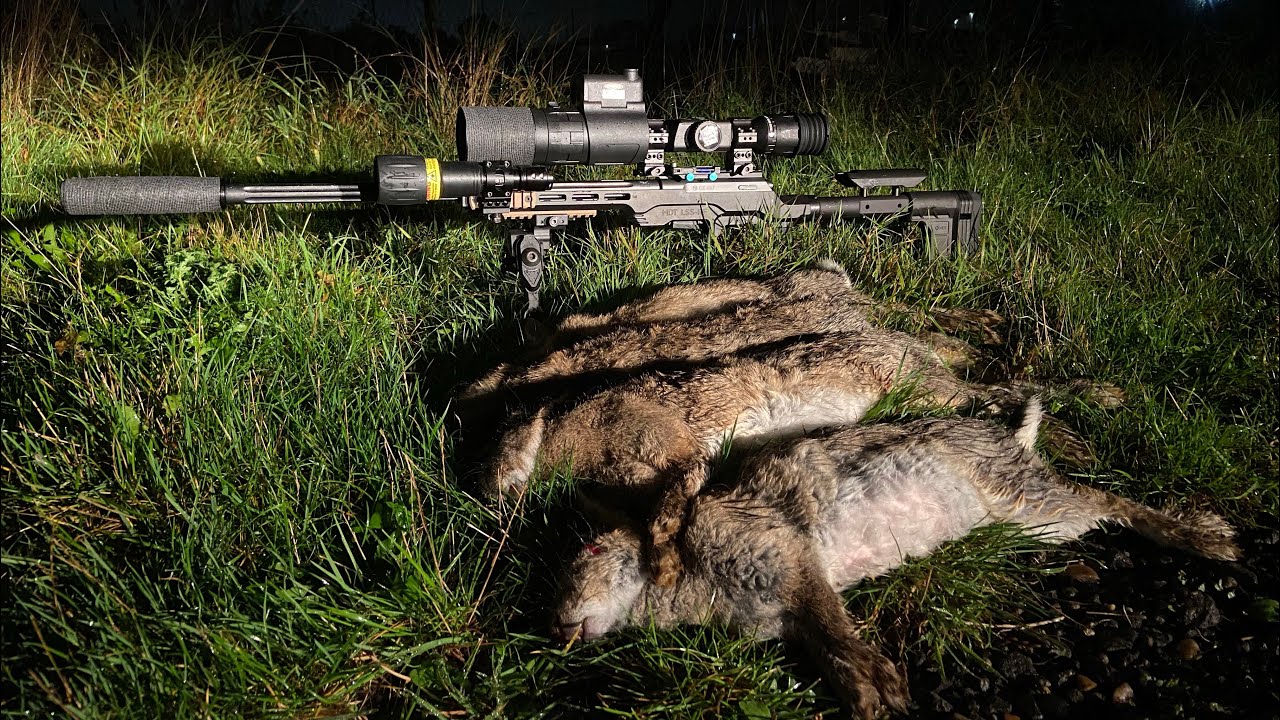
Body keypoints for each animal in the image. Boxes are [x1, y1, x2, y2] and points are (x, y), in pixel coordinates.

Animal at [553, 400, 1239, 719]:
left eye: (589, 549)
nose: (559, 629)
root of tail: (1010, 440)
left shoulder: (788, 559)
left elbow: (838, 637)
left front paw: (877, 697)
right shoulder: (790, 605)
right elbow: (827, 645)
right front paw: (871, 694)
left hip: (1027, 497)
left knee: (1112, 501)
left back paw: (1210, 539)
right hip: (1035, 524)